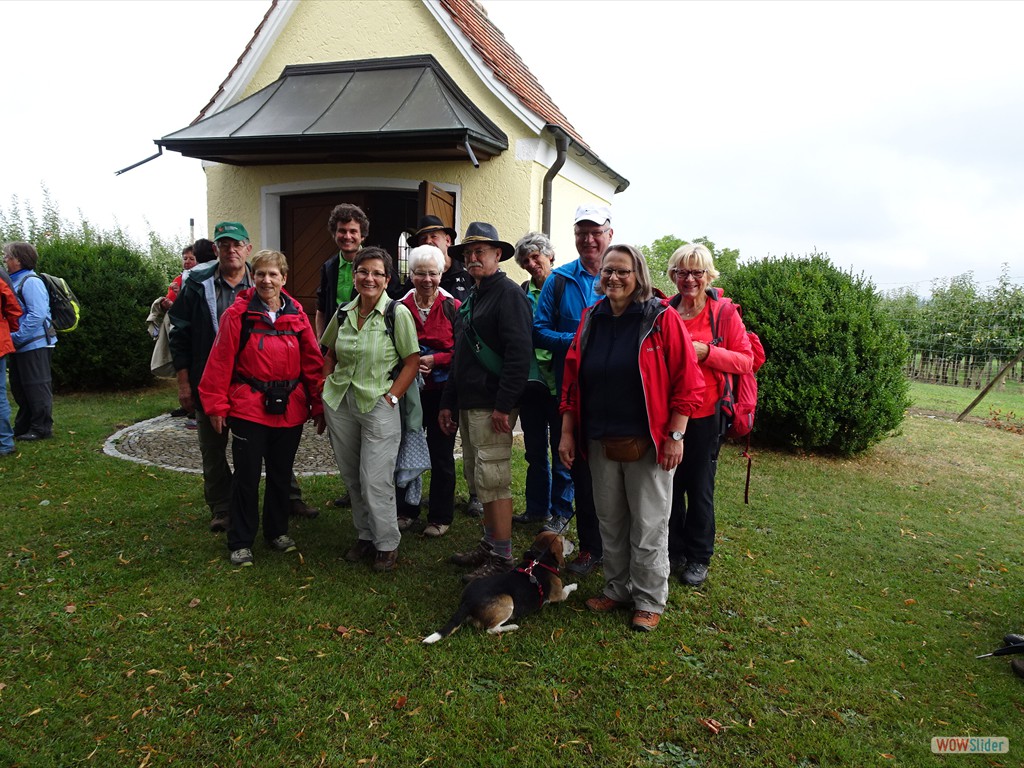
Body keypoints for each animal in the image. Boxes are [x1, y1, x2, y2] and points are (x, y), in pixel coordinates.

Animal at [421, 532, 581, 647]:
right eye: (564, 540)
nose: (574, 542)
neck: (539, 559)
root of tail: (467, 602)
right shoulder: (558, 595)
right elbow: (567, 589)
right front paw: (574, 585)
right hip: (507, 601)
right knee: (491, 629)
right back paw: (512, 626)